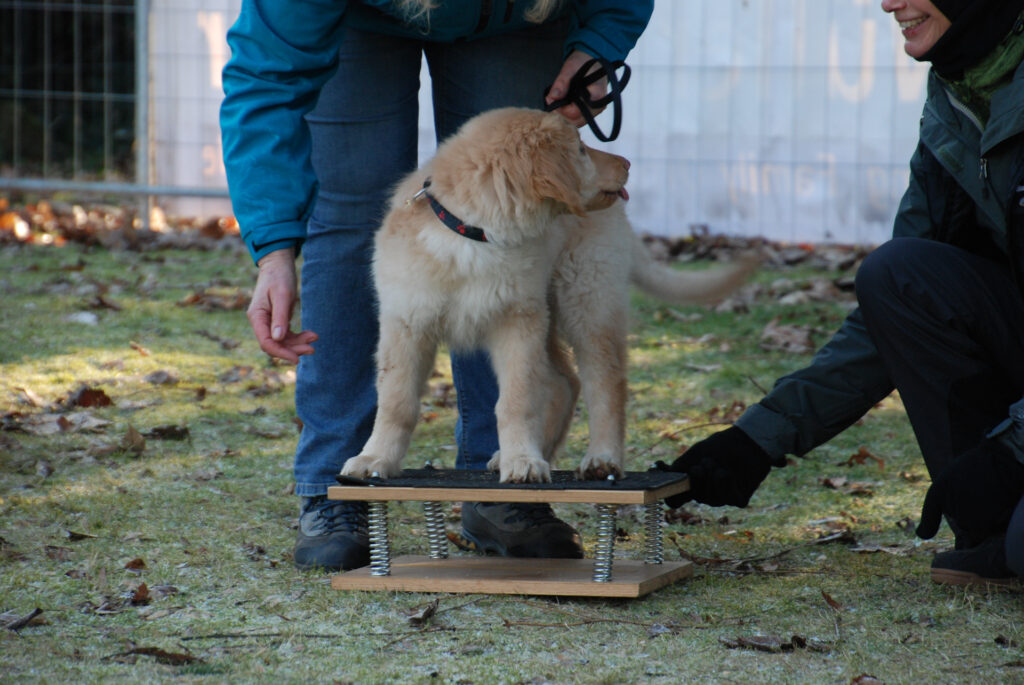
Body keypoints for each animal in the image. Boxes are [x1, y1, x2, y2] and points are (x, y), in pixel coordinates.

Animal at [339, 108, 749, 481]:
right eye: (581, 150)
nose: (628, 163)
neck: (471, 234)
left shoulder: (517, 320)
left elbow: (516, 400)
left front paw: (523, 460)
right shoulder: (406, 323)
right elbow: (396, 401)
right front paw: (375, 458)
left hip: (586, 298)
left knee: (605, 380)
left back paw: (602, 458)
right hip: (550, 310)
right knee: (566, 382)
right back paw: (537, 451)